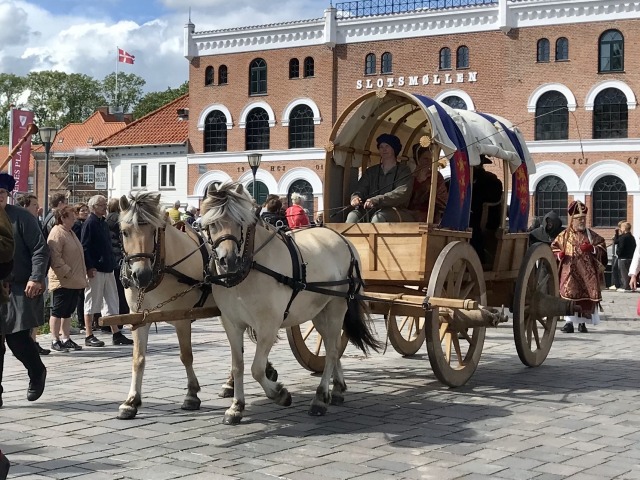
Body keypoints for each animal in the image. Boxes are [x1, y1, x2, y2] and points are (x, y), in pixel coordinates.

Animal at [119, 191, 219, 420]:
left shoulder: (182, 320)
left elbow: (186, 355)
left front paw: (191, 394)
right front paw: (131, 401)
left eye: (153, 230)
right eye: (125, 232)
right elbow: (138, 358)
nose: (141, 275)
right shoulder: (138, 318)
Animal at [201, 183, 380, 424]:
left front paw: (280, 394)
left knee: (332, 351)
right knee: (331, 345)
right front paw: (236, 406)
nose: (228, 261)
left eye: (241, 222)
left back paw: (320, 397)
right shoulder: (231, 323)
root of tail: (344, 240)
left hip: (336, 307)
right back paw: (337, 388)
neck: (249, 268)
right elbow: (238, 366)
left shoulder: (268, 325)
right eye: (212, 224)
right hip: (319, 311)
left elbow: (257, 369)